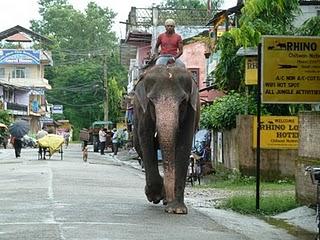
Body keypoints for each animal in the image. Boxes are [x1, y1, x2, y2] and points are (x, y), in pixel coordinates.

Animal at [133, 64, 200, 214]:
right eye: (152, 101)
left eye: (183, 102)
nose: (168, 198)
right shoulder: (143, 110)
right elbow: (146, 138)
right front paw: (155, 196)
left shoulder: (191, 110)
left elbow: (184, 143)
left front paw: (177, 210)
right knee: (139, 145)